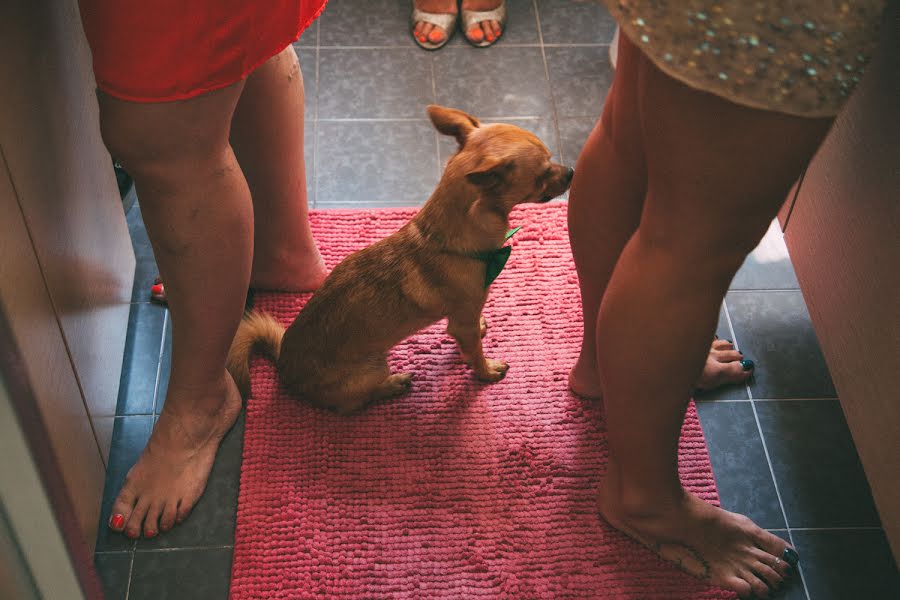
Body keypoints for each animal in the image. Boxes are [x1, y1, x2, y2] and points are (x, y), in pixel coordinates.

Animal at [229, 105, 572, 412]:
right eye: (543, 174)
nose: (571, 171)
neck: (443, 238)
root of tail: (284, 366)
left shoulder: (461, 321)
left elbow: (469, 338)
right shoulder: (463, 320)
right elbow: (473, 352)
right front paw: (486, 372)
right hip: (373, 367)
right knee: (355, 404)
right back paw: (392, 384)